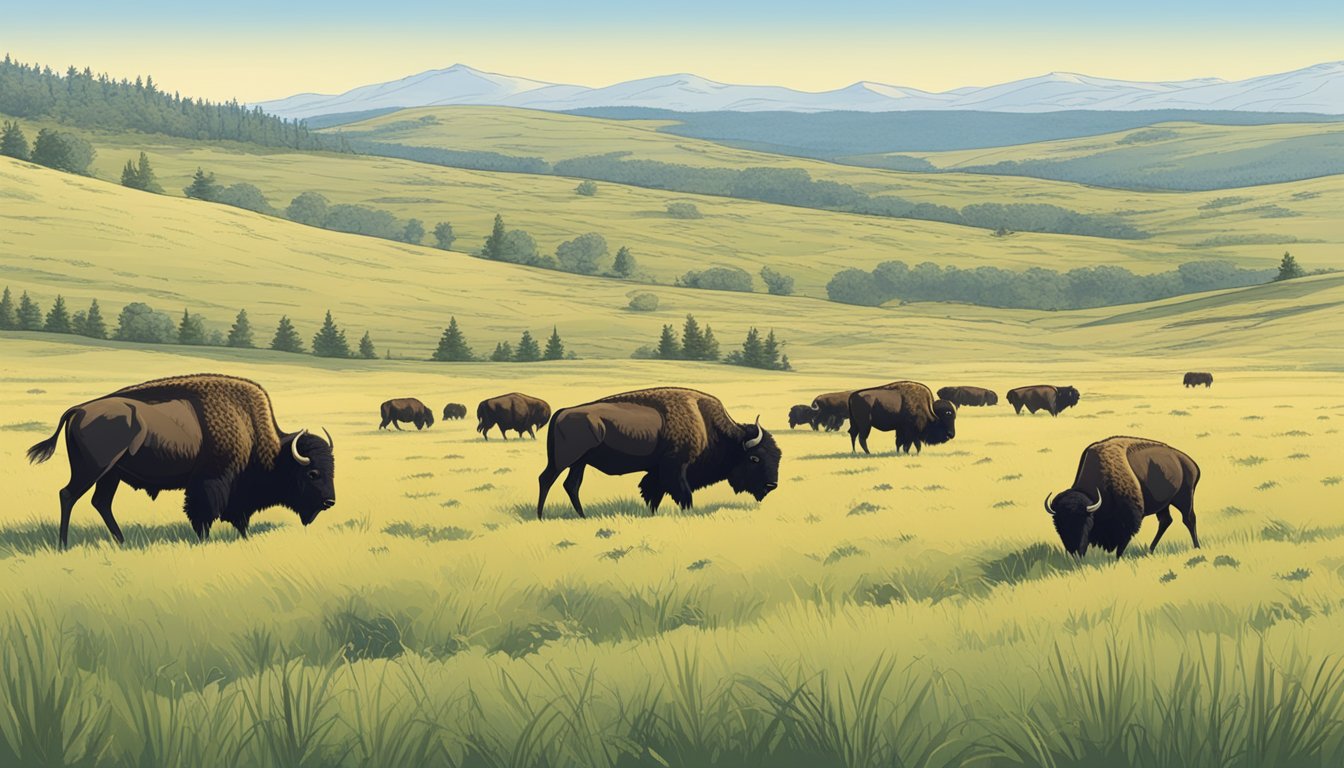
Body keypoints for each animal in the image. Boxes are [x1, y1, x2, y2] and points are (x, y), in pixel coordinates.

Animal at [26, 373, 336, 546]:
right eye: (312, 473)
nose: (330, 501)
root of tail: (78, 410)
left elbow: (238, 517)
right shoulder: (210, 483)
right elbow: (203, 513)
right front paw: (204, 541)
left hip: (110, 475)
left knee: (100, 502)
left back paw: (122, 542)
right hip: (93, 470)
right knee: (68, 495)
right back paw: (63, 545)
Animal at [534, 387, 779, 519]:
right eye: (755, 458)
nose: (771, 485)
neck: (704, 422)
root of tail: (562, 412)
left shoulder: (657, 472)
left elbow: (653, 493)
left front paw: (652, 513)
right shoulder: (676, 469)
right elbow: (683, 495)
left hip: (579, 463)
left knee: (571, 485)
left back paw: (583, 516)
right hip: (564, 460)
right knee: (546, 479)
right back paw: (540, 516)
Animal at [1042, 438, 1204, 559]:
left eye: (1086, 521)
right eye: (1059, 524)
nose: (1075, 551)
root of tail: (1191, 463)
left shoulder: (1128, 521)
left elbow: (1122, 543)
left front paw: (1117, 559)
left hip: (1184, 498)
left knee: (1189, 519)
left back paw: (1197, 547)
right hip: (1164, 505)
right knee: (1166, 521)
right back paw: (1149, 550)